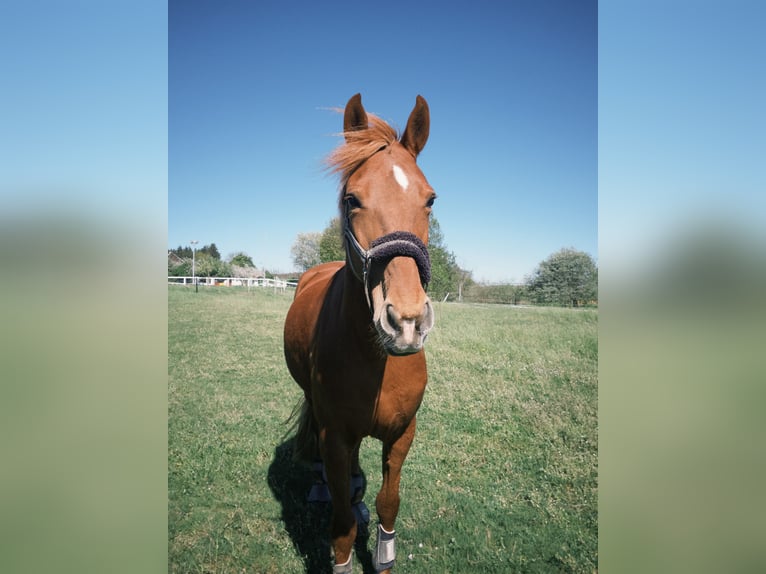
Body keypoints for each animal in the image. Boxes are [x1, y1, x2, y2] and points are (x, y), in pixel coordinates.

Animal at [283, 93, 436, 573]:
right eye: (352, 198)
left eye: (430, 199)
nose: (406, 321)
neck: (375, 359)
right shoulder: (334, 436)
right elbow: (342, 526)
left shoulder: (403, 433)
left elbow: (389, 503)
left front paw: (383, 552)